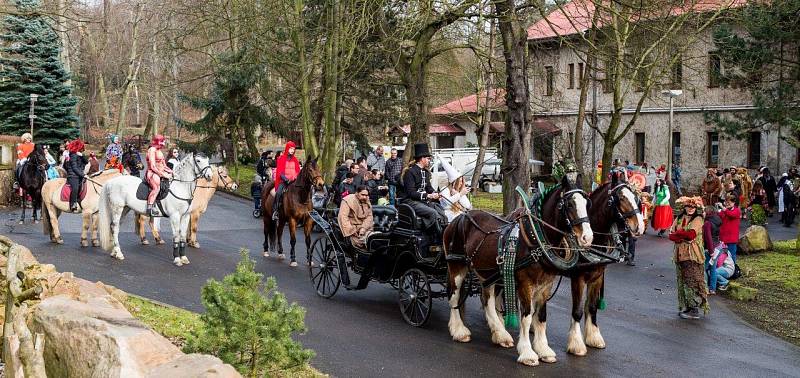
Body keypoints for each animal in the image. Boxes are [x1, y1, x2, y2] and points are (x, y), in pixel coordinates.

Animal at [444, 176, 592, 368]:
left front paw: (543, 350)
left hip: (488, 273)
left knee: (487, 300)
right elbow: (527, 317)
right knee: (454, 297)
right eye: (569, 204)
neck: (536, 239)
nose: (587, 238)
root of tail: (460, 217)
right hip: (456, 267)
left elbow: (541, 317)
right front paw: (528, 353)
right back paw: (459, 330)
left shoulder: (546, 285)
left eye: (587, 203)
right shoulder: (525, 283)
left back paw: (500, 333)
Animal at [560, 174, 648, 358]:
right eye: (620, 198)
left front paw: (594, 337)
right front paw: (576, 344)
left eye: (635, 197)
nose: (641, 226)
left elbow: (592, 307)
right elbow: (577, 310)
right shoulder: (578, 279)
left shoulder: (598, 276)